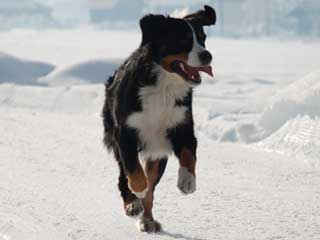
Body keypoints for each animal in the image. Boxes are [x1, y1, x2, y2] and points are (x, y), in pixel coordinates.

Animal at [102, 4, 218, 232]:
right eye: (182, 39)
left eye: (202, 38)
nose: (207, 55)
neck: (164, 86)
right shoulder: (125, 132)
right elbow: (133, 169)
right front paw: (138, 187)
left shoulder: (182, 126)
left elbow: (189, 155)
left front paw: (187, 181)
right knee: (123, 177)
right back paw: (132, 203)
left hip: (157, 152)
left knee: (151, 191)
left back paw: (147, 219)